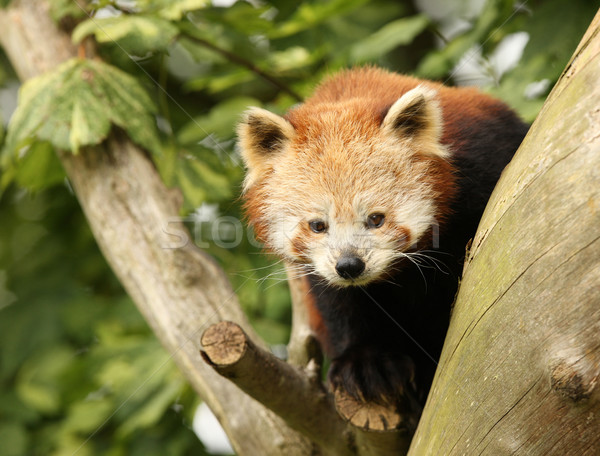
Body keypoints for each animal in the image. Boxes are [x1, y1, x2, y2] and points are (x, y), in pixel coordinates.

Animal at [237, 67, 528, 416]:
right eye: (318, 225)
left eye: (375, 219)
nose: (350, 265)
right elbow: (340, 301)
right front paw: (365, 361)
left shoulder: (482, 161)